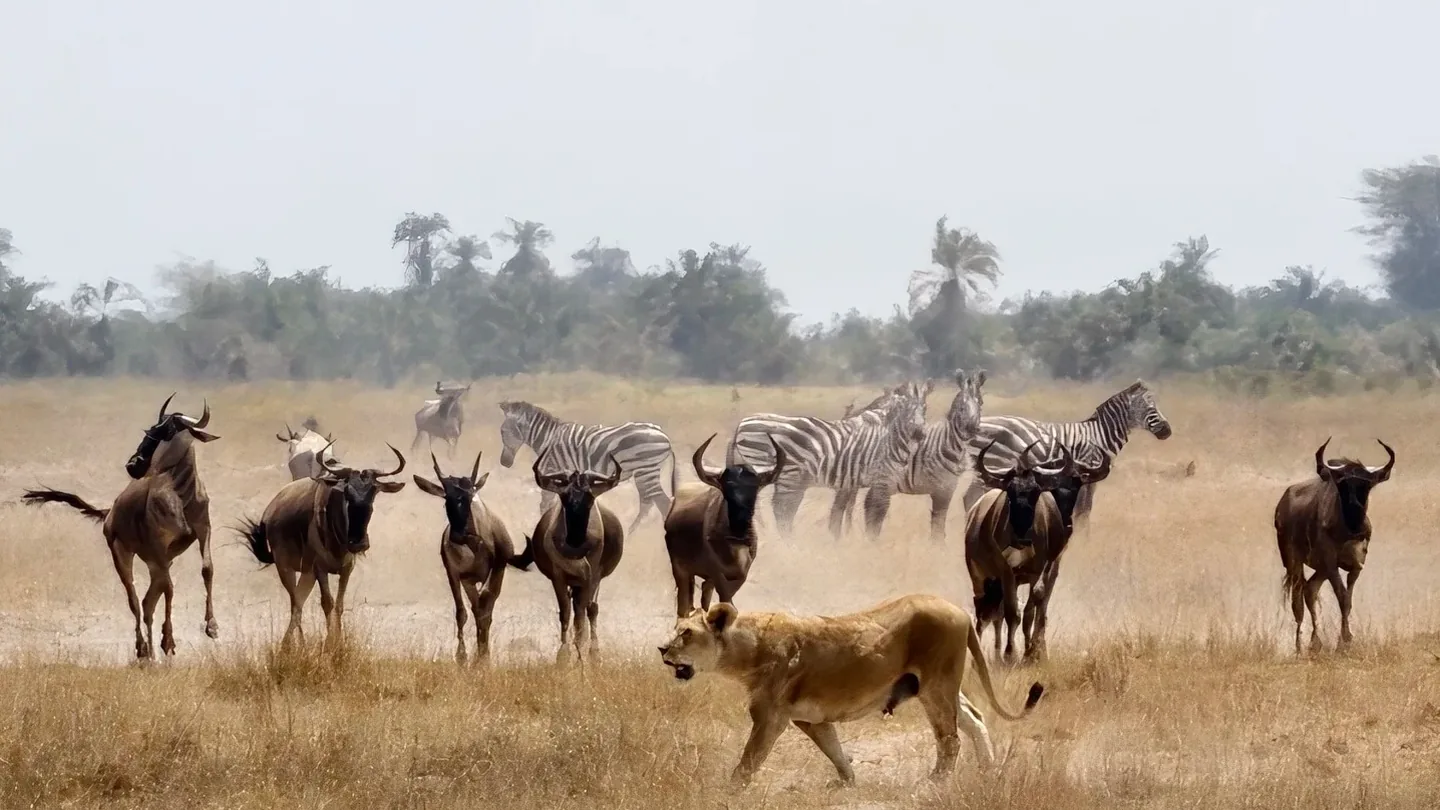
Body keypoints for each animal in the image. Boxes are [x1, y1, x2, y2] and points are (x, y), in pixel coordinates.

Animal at [497, 400, 676, 533]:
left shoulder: (552, 471)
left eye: (503, 431)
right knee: (649, 502)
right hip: (645, 471)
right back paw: (630, 534)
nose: (503, 463)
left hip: (646, 469)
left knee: (661, 502)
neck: (548, 440)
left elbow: (545, 504)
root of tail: (664, 436)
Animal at [657, 593, 1045, 786]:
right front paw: (847, 781)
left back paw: (935, 782)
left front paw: (729, 790)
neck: (745, 646)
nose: (662, 649)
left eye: (686, 634)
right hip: (941, 687)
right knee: (975, 719)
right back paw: (988, 773)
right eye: (676, 629)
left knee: (950, 739)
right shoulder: (810, 719)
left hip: (937, 685)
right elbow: (835, 750)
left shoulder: (770, 716)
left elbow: (749, 760)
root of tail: (959, 611)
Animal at [730, 393, 928, 540]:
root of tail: (742, 423)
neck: (888, 440)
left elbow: (846, 508)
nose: (921, 434)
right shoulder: (881, 479)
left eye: (925, 411)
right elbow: (876, 510)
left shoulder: (854, 479)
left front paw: (842, 537)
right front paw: (871, 540)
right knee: (776, 507)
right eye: (907, 414)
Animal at [832, 369, 988, 542]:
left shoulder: (948, 490)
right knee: (840, 505)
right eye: (961, 406)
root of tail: (856, 413)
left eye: (980, 403)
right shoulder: (939, 491)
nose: (972, 429)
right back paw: (836, 538)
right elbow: (938, 528)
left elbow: (938, 527)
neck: (947, 445)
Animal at [959, 379, 1172, 524]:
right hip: (996, 464)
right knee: (971, 497)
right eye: (1150, 408)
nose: (1167, 432)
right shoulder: (1087, 472)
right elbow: (1084, 510)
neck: (1099, 436)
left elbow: (1082, 509)